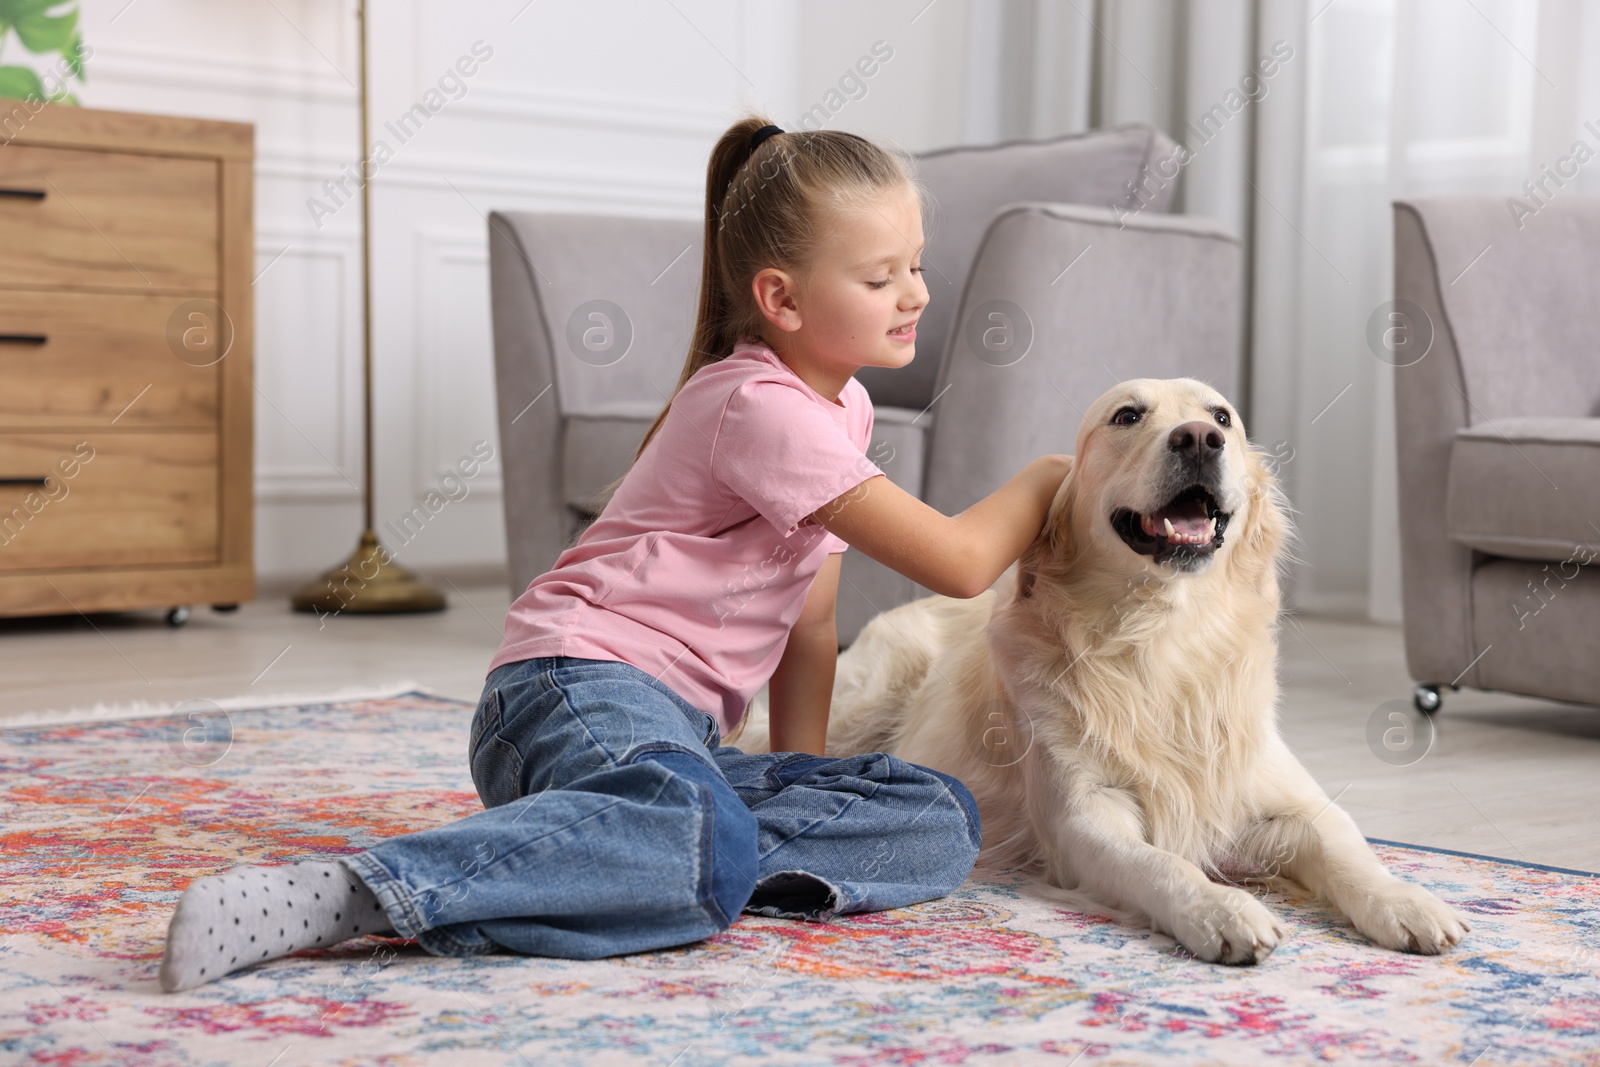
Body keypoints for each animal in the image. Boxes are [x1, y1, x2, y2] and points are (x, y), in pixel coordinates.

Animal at [732, 377, 1465, 966]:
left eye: (1222, 417)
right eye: (1127, 415)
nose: (1199, 439)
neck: (1163, 638)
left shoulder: (1282, 796)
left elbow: (1347, 847)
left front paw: (1408, 902)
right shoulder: (1083, 816)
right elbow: (1160, 862)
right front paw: (1220, 910)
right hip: (863, 702)